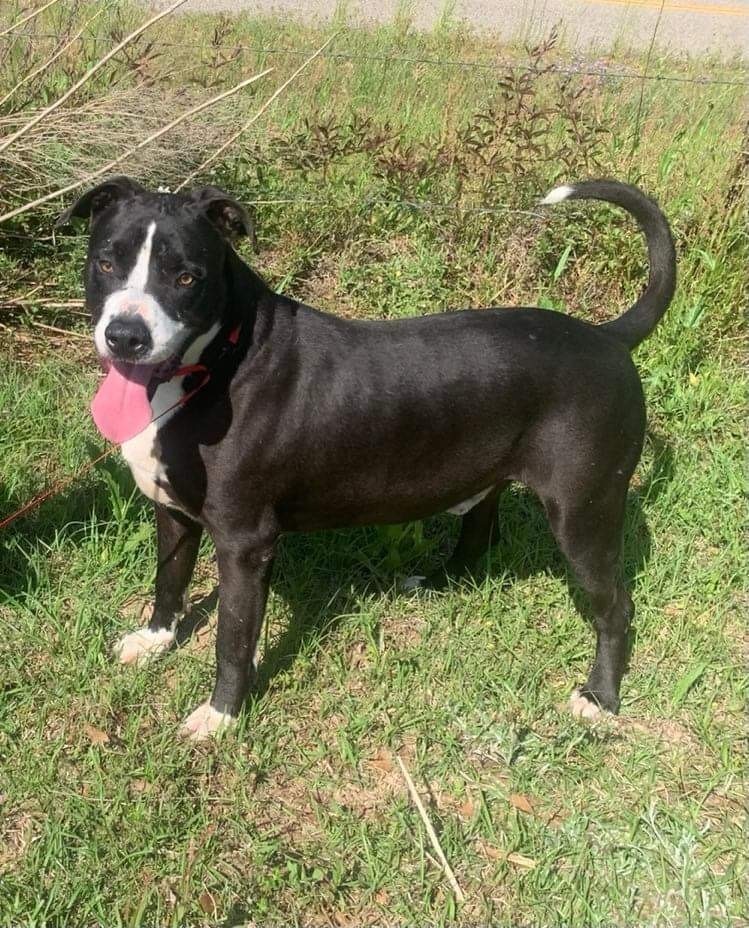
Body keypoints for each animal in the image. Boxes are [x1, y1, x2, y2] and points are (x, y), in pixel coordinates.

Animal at [58, 174, 676, 740]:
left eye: (187, 277)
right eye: (106, 263)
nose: (126, 335)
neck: (218, 360)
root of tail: (607, 337)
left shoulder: (244, 542)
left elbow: (233, 637)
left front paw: (222, 715)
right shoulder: (172, 509)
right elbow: (169, 579)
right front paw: (155, 640)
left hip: (584, 512)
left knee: (616, 607)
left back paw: (599, 699)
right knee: (478, 538)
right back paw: (438, 581)